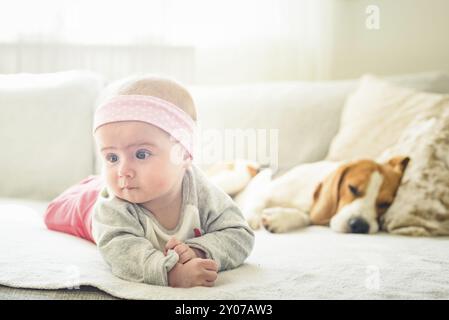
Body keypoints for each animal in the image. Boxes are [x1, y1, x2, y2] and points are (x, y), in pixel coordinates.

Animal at [243, 156, 408, 234]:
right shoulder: (268, 188)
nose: (360, 225)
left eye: (385, 204)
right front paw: (251, 218)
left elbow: (306, 217)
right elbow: (259, 200)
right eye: (352, 188)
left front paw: (279, 218)